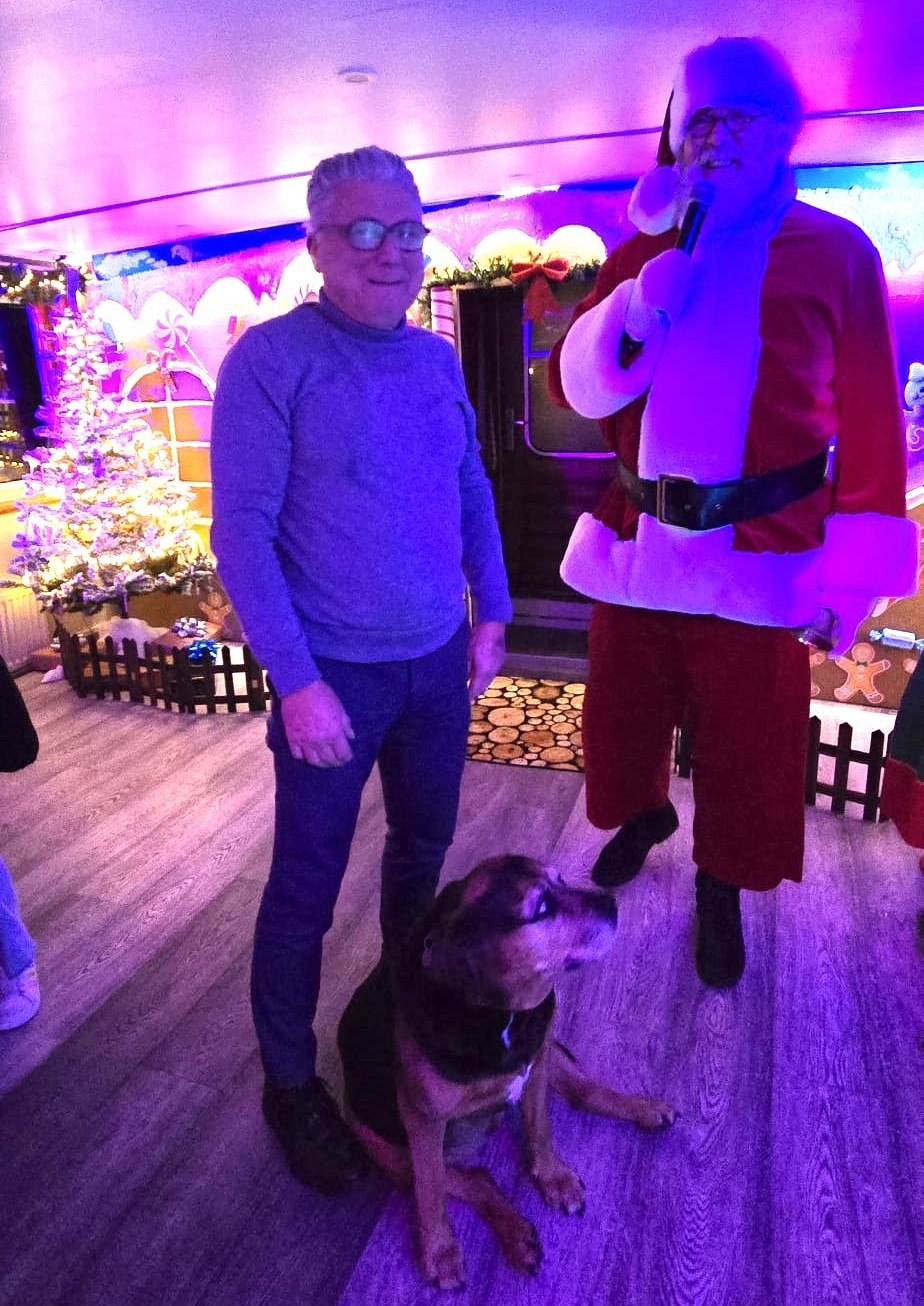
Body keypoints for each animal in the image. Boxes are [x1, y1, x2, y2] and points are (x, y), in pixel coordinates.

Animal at [337, 854, 676, 1290]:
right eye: (542, 907)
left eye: (561, 880)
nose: (612, 903)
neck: (503, 1015)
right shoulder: (424, 1121)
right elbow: (431, 1191)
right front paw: (439, 1252)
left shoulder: (537, 1064)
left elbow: (541, 1129)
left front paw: (553, 1177)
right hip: (386, 1147)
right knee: (472, 1178)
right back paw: (516, 1233)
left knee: (582, 1092)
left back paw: (645, 1109)